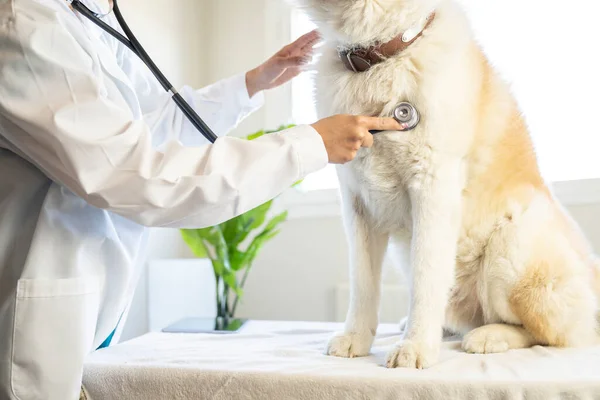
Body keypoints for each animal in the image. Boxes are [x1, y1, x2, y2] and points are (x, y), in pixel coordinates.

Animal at [290, 0, 600, 368]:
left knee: (549, 333)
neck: (382, 56)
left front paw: (416, 347)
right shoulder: (357, 203)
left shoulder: (432, 186)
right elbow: (363, 283)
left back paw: (488, 335)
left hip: (511, 244)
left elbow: (425, 279)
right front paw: (357, 338)